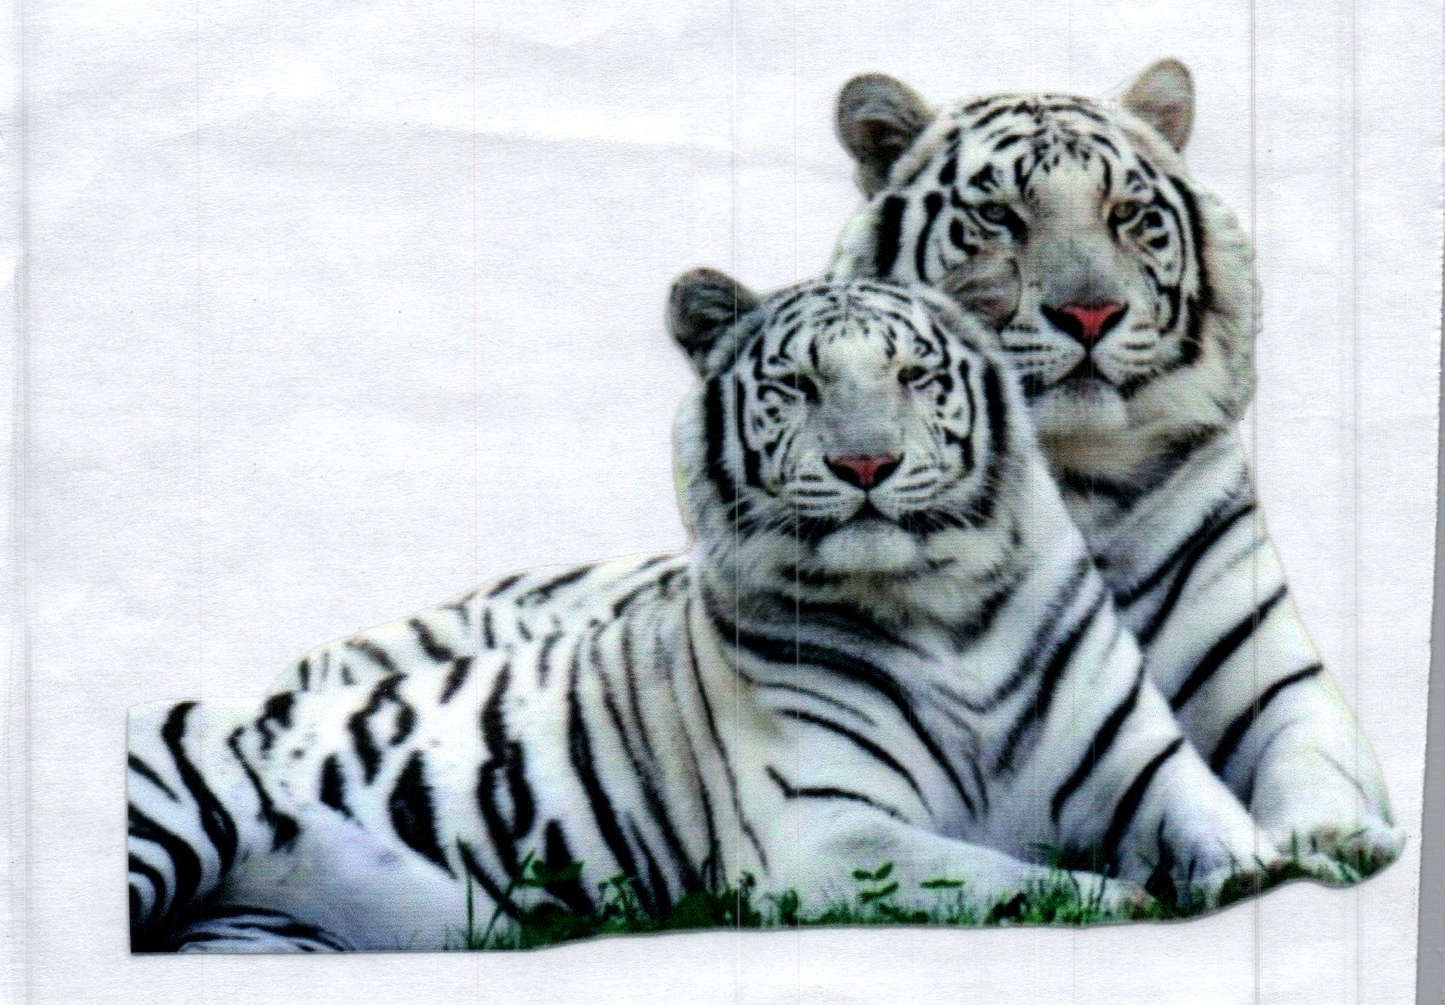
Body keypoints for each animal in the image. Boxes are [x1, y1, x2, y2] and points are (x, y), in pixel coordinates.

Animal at [127, 272, 1298, 954]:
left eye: (914, 377)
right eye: (796, 386)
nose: (864, 465)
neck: (941, 608)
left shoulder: (1141, 764)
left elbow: (1217, 824)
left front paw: (1257, 875)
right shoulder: (817, 830)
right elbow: (985, 874)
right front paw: (1113, 901)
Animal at [827, 58, 1403, 877]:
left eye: (1125, 213)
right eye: (999, 216)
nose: (1090, 314)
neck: (1076, 468)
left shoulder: (1271, 667)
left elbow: (1312, 754)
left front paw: (1331, 839)